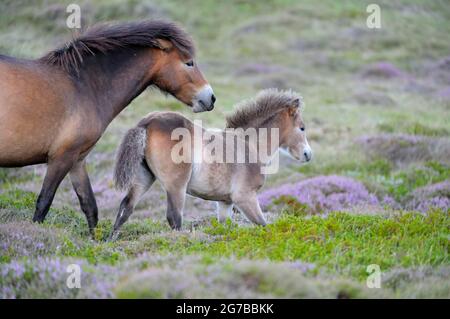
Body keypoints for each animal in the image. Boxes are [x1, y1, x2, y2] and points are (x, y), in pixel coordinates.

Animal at [0, 21, 216, 234]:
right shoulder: (61, 158)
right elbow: (44, 203)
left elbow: (90, 206)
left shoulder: (77, 160)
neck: (83, 85)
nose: (211, 98)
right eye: (189, 62)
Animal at [110, 88, 312, 240]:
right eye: (302, 127)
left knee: (125, 208)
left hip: (143, 178)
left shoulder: (225, 203)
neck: (250, 145)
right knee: (174, 218)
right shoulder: (245, 197)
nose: (308, 154)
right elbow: (263, 225)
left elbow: (226, 227)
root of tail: (148, 122)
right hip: (176, 186)